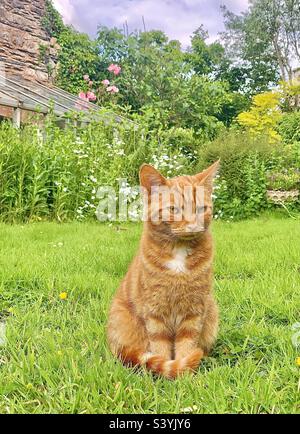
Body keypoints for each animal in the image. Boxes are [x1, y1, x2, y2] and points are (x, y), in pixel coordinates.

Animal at [106, 161, 219, 378]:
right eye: (174, 209)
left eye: (202, 208)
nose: (193, 225)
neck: (178, 253)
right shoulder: (155, 312)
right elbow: (160, 348)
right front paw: (167, 375)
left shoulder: (194, 311)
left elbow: (187, 346)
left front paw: (185, 377)